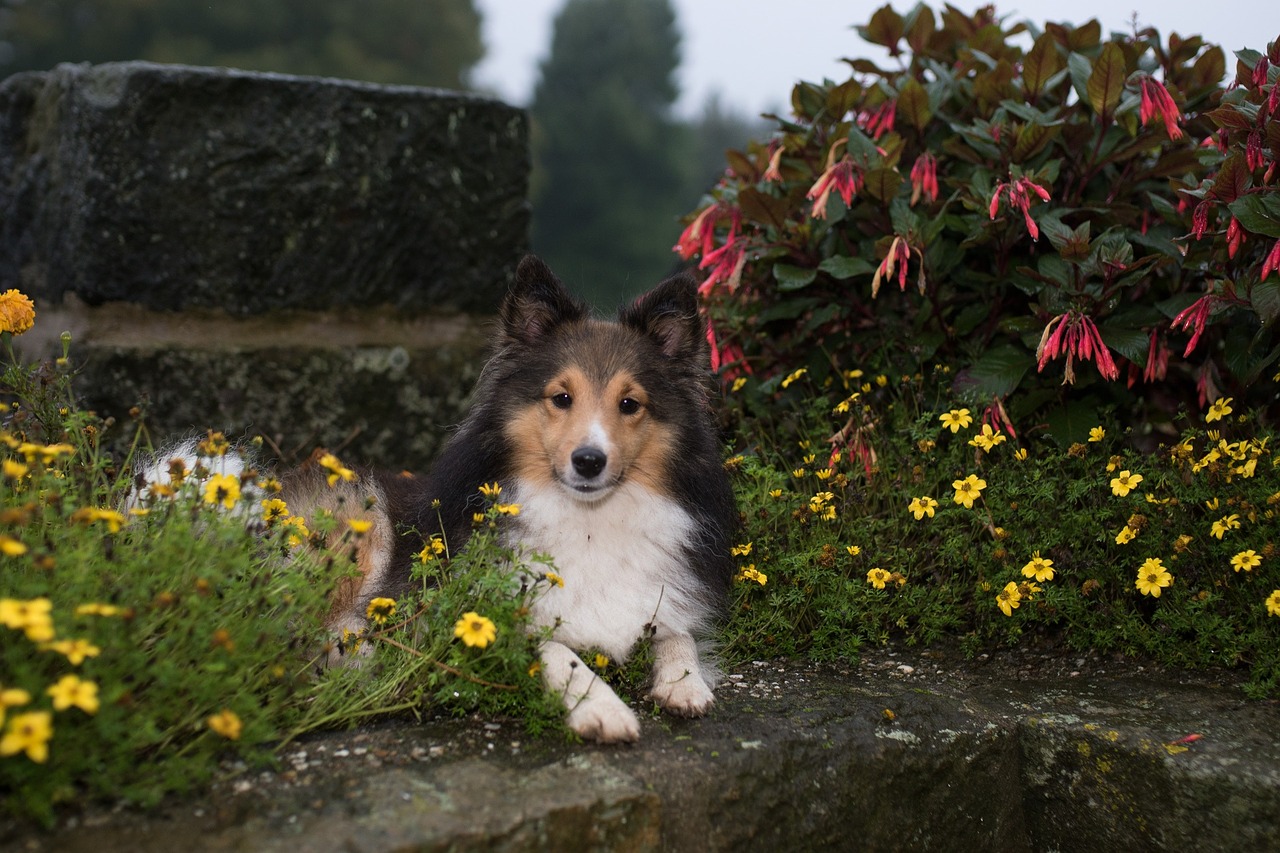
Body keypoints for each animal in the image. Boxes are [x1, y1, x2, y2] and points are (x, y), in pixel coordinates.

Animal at [135, 256, 737, 742]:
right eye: (561, 397)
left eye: (630, 404)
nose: (588, 461)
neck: (589, 519)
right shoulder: (477, 608)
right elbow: (556, 649)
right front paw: (603, 710)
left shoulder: (658, 600)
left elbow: (676, 634)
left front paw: (684, 683)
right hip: (358, 522)